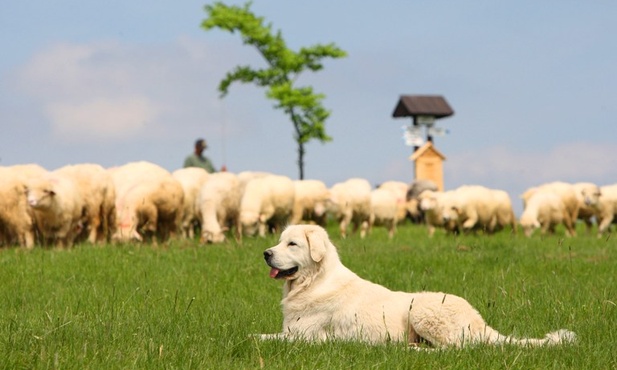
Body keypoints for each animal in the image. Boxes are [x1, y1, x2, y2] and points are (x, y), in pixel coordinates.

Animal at [258, 224, 572, 348]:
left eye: (292, 244)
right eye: (279, 241)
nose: (265, 253)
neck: (314, 282)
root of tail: (481, 323)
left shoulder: (304, 337)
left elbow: (259, 336)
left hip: (420, 307)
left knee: (455, 350)